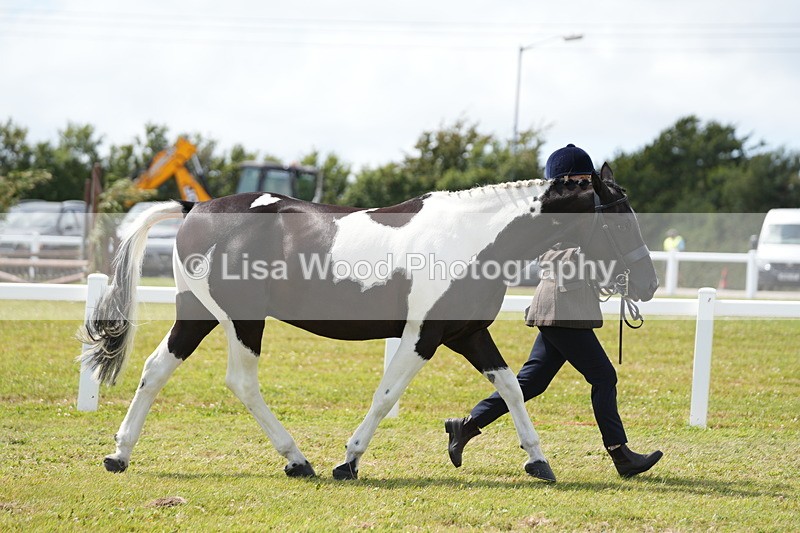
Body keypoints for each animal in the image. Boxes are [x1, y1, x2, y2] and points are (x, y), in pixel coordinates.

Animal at [80, 163, 658, 482]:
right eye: (619, 217)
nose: (648, 285)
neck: (473, 238)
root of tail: (193, 207)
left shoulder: (468, 333)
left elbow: (512, 388)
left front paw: (537, 461)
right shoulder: (423, 336)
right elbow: (386, 395)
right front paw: (349, 462)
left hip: (197, 314)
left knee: (155, 369)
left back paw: (118, 454)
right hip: (242, 319)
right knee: (240, 382)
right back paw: (297, 460)